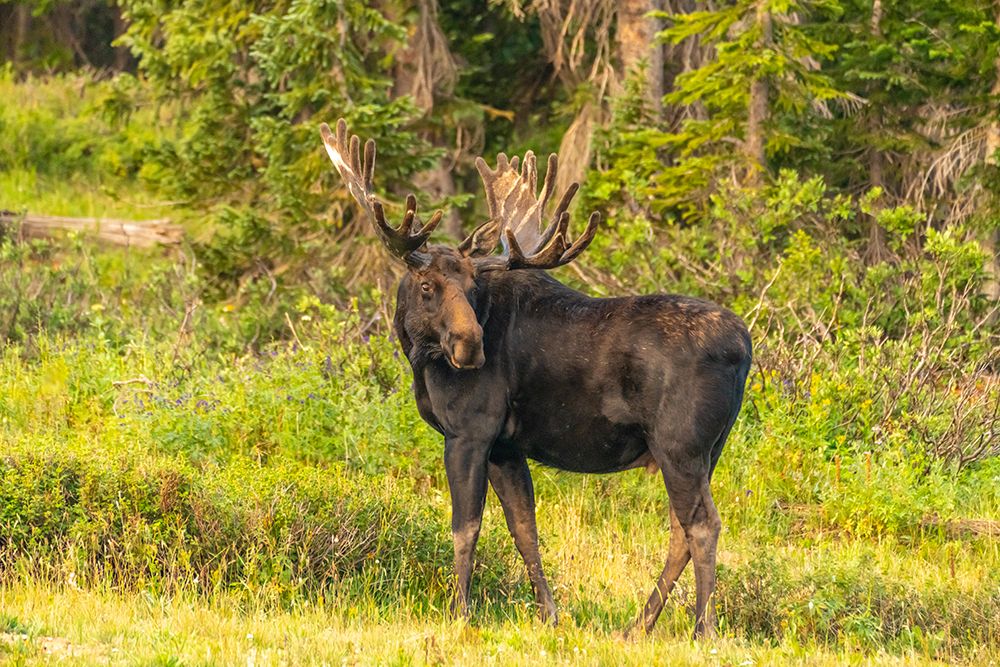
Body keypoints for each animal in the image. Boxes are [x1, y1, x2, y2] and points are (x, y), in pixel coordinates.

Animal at [319, 119, 752, 639]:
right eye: (428, 286)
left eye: (471, 287)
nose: (471, 346)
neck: (420, 359)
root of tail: (746, 347)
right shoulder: (507, 445)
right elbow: (524, 528)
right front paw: (550, 614)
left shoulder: (469, 431)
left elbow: (465, 526)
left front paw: (460, 613)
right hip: (706, 449)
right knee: (680, 530)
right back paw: (637, 625)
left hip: (679, 443)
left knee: (703, 525)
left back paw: (702, 628)